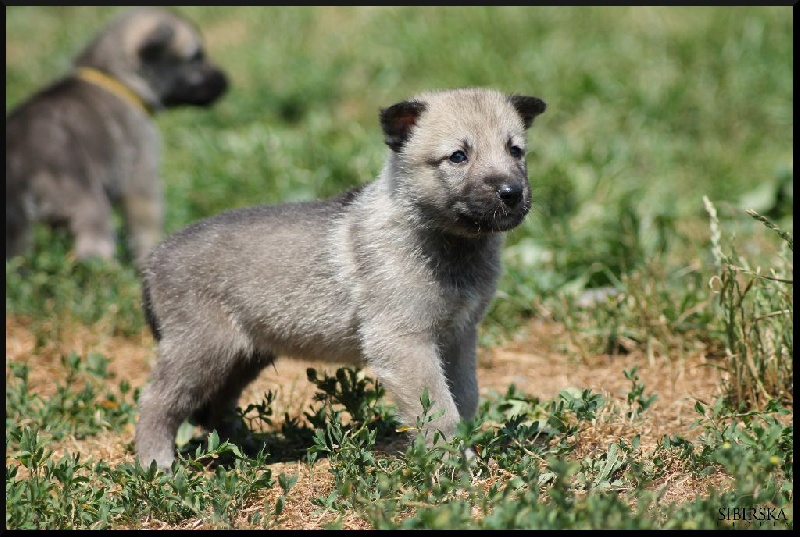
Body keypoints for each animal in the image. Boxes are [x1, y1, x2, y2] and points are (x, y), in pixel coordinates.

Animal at [6, 7, 230, 266]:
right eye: (195, 58)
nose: (227, 82)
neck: (119, 79)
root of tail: (20, 161)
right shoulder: (141, 175)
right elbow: (145, 226)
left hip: (17, 223)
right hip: (89, 203)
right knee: (93, 248)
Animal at [139, 88, 552, 468]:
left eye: (515, 151)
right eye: (458, 156)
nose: (512, 193)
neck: (446, 239)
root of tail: (154, 259)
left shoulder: (458, 337)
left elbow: (464, 397)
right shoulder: (404, 343)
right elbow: (439, 410)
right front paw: (452, 463)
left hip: (242, 355)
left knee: (215, 407)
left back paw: (248, 448)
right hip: (201, 351)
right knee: (156, 402)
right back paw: (156, 464)